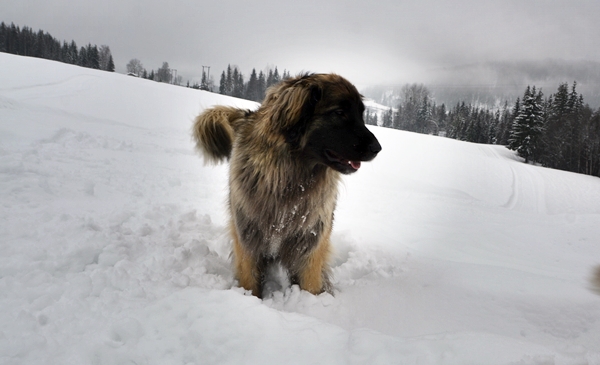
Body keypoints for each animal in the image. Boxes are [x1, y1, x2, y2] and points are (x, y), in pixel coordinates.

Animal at [193, 72, 380, 298]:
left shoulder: (309, 245)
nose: (377, 148)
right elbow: (250, 282)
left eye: (361, 114)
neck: (289, 177)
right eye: (339, 112)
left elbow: (311, 284)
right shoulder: (248, 238)